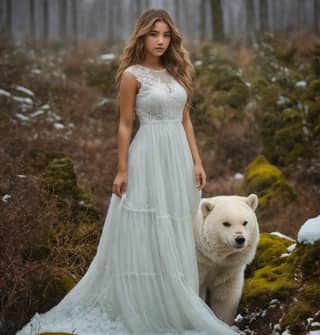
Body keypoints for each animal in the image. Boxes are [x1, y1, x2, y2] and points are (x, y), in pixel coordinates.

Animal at [191, 194, 258, 326]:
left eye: (245, 222)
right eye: (226, 223)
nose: (240, 239)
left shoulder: (229, 268)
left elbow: (224, 298)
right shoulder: (200, 263)